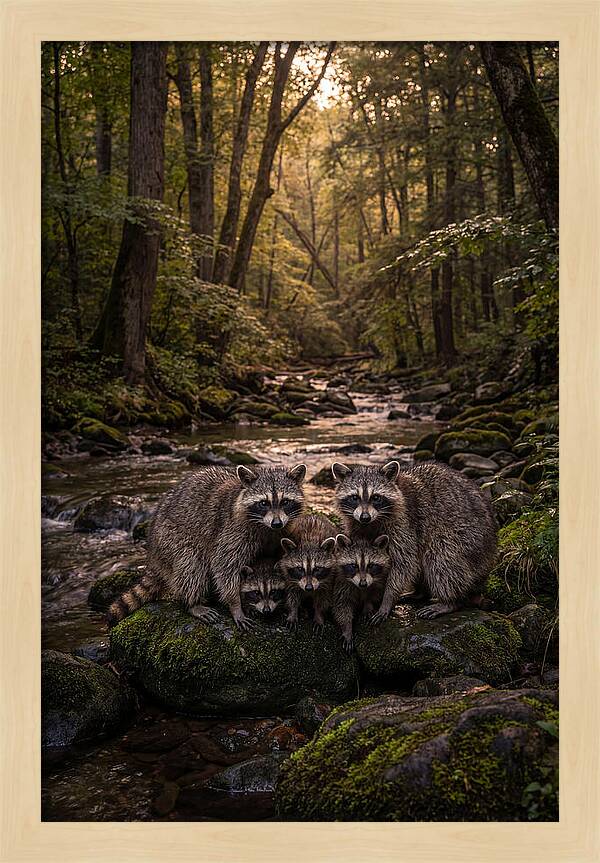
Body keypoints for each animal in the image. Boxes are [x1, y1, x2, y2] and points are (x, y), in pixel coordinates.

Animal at [107, 463, 306, 630]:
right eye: (263, 503)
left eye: (285, 502)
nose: (276, 523)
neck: (266, 527)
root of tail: (153, 553)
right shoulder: (232, 531)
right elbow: (224, 567)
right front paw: (236, 604)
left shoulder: (281, 532)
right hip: (170, 539)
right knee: (191, 565)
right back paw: (192, 603)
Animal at [331, 460, 497, 621]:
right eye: (355, 497)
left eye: (376, 498)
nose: (365, 517)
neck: (372, 522)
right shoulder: (355, 524)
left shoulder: (404, 523)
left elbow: (404, 563)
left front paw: (387, 599)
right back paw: (420, 593)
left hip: (469, 539)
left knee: (441, 557)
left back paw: (450, 601)